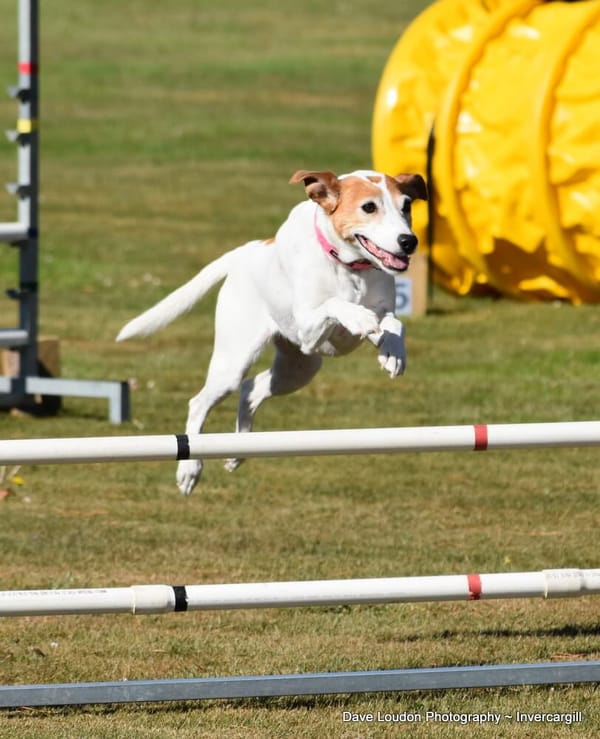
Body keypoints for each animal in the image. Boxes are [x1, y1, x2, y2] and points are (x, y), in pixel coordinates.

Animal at [117, 167, 426, 492]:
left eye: (407, 205)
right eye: (369, 207)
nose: (408, 241)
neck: (351, 268)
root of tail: (247, 252)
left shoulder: (383, 309)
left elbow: (394, 323)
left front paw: (392, 352)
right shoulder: (307, 328)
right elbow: (334, 304)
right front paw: (359, 319)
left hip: (299, 369)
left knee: (250, 390)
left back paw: (237, 452)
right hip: (235, 362)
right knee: (200, 403)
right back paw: (190, 469)